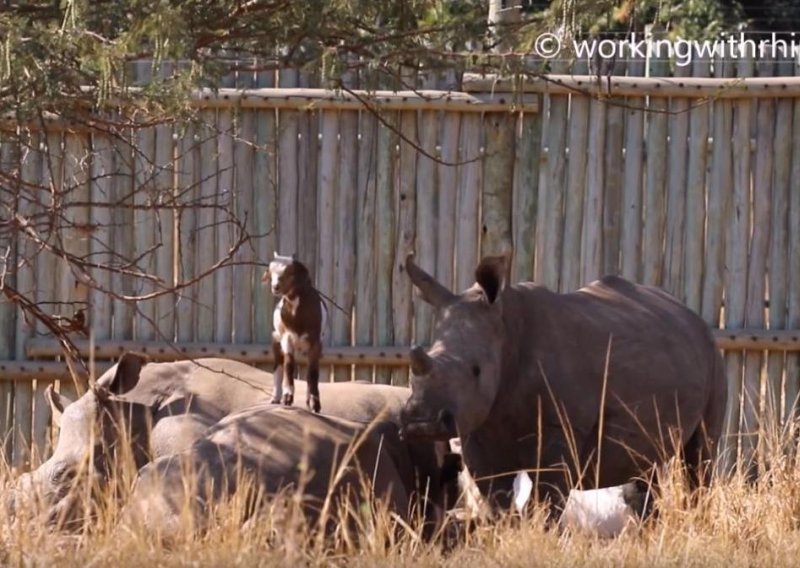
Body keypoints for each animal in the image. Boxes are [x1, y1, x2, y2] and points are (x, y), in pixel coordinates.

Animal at [260, 253, 326, 412]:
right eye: (271, 272)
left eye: (290, 272)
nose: (275, 287)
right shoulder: (287, 338)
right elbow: (289, 366)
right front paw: (287, 398)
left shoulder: (316, 342)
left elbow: (312, 373)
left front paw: (315, 403)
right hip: (276, 341)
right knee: (278, 366)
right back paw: (275, 398)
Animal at [398, 253, 724, 516]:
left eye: (476, 370)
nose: (421, 424)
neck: (506, 331)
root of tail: (692, 314)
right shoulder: (477, 424)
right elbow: (496, 497)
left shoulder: (562, 425)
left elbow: (546, 498)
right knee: (645, 465)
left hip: (712, 353)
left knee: (699, 457)